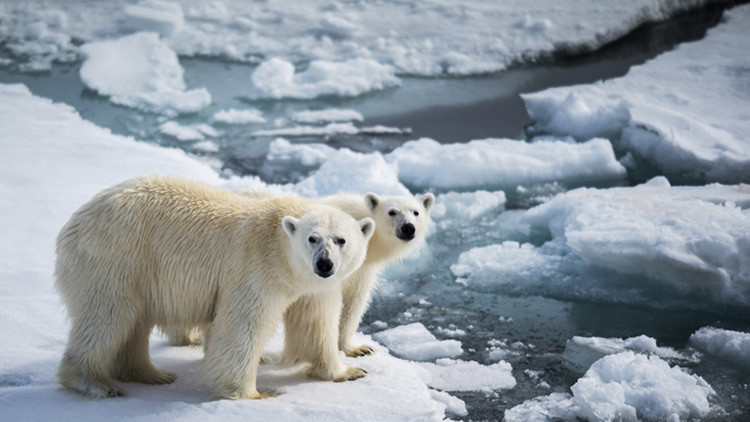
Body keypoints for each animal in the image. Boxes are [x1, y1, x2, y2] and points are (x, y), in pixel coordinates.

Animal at [55, 175, 376, 398]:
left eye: (341, 240)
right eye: (312, 238)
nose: (325, 264)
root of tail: (74, 223)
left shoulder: (313, 288)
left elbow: (316, 324)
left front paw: (348, 371)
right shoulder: (255, 268)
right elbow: (242, 325)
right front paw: (253, 394)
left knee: (132, 322)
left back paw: (150, 374)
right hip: (117, 257)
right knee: (107, 316)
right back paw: (95, 383)